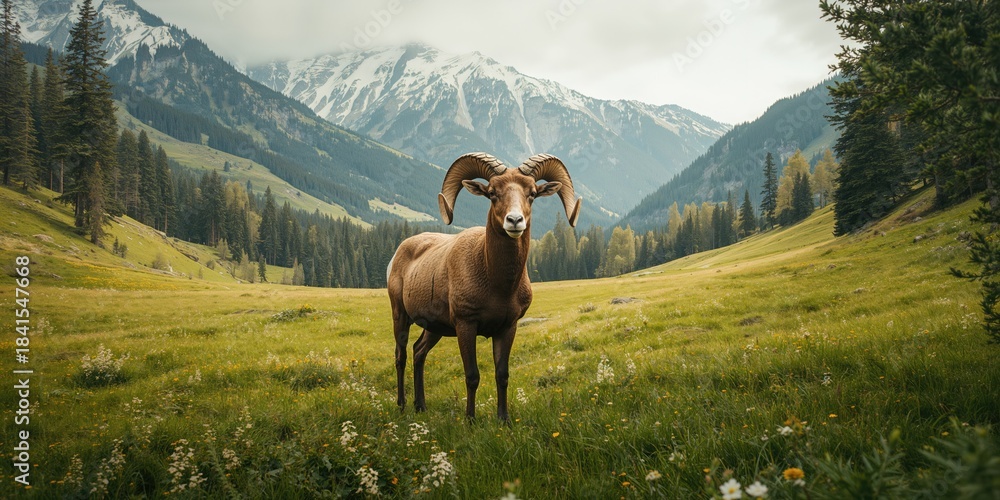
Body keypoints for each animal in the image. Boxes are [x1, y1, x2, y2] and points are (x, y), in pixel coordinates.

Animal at [387, 152, 582, 421]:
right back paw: (402, 405)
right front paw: (470, 420)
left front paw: (504, 420)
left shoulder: (507, 328)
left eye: (532, 193)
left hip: (434, 327)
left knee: (419, 352)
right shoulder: (466, 325)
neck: (498, 286)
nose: (514, 220)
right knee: (401, 355)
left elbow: (502, 375)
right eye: (492, 193)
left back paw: (421, 406)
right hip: (400, 315)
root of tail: (398, 253)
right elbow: (472, 376)